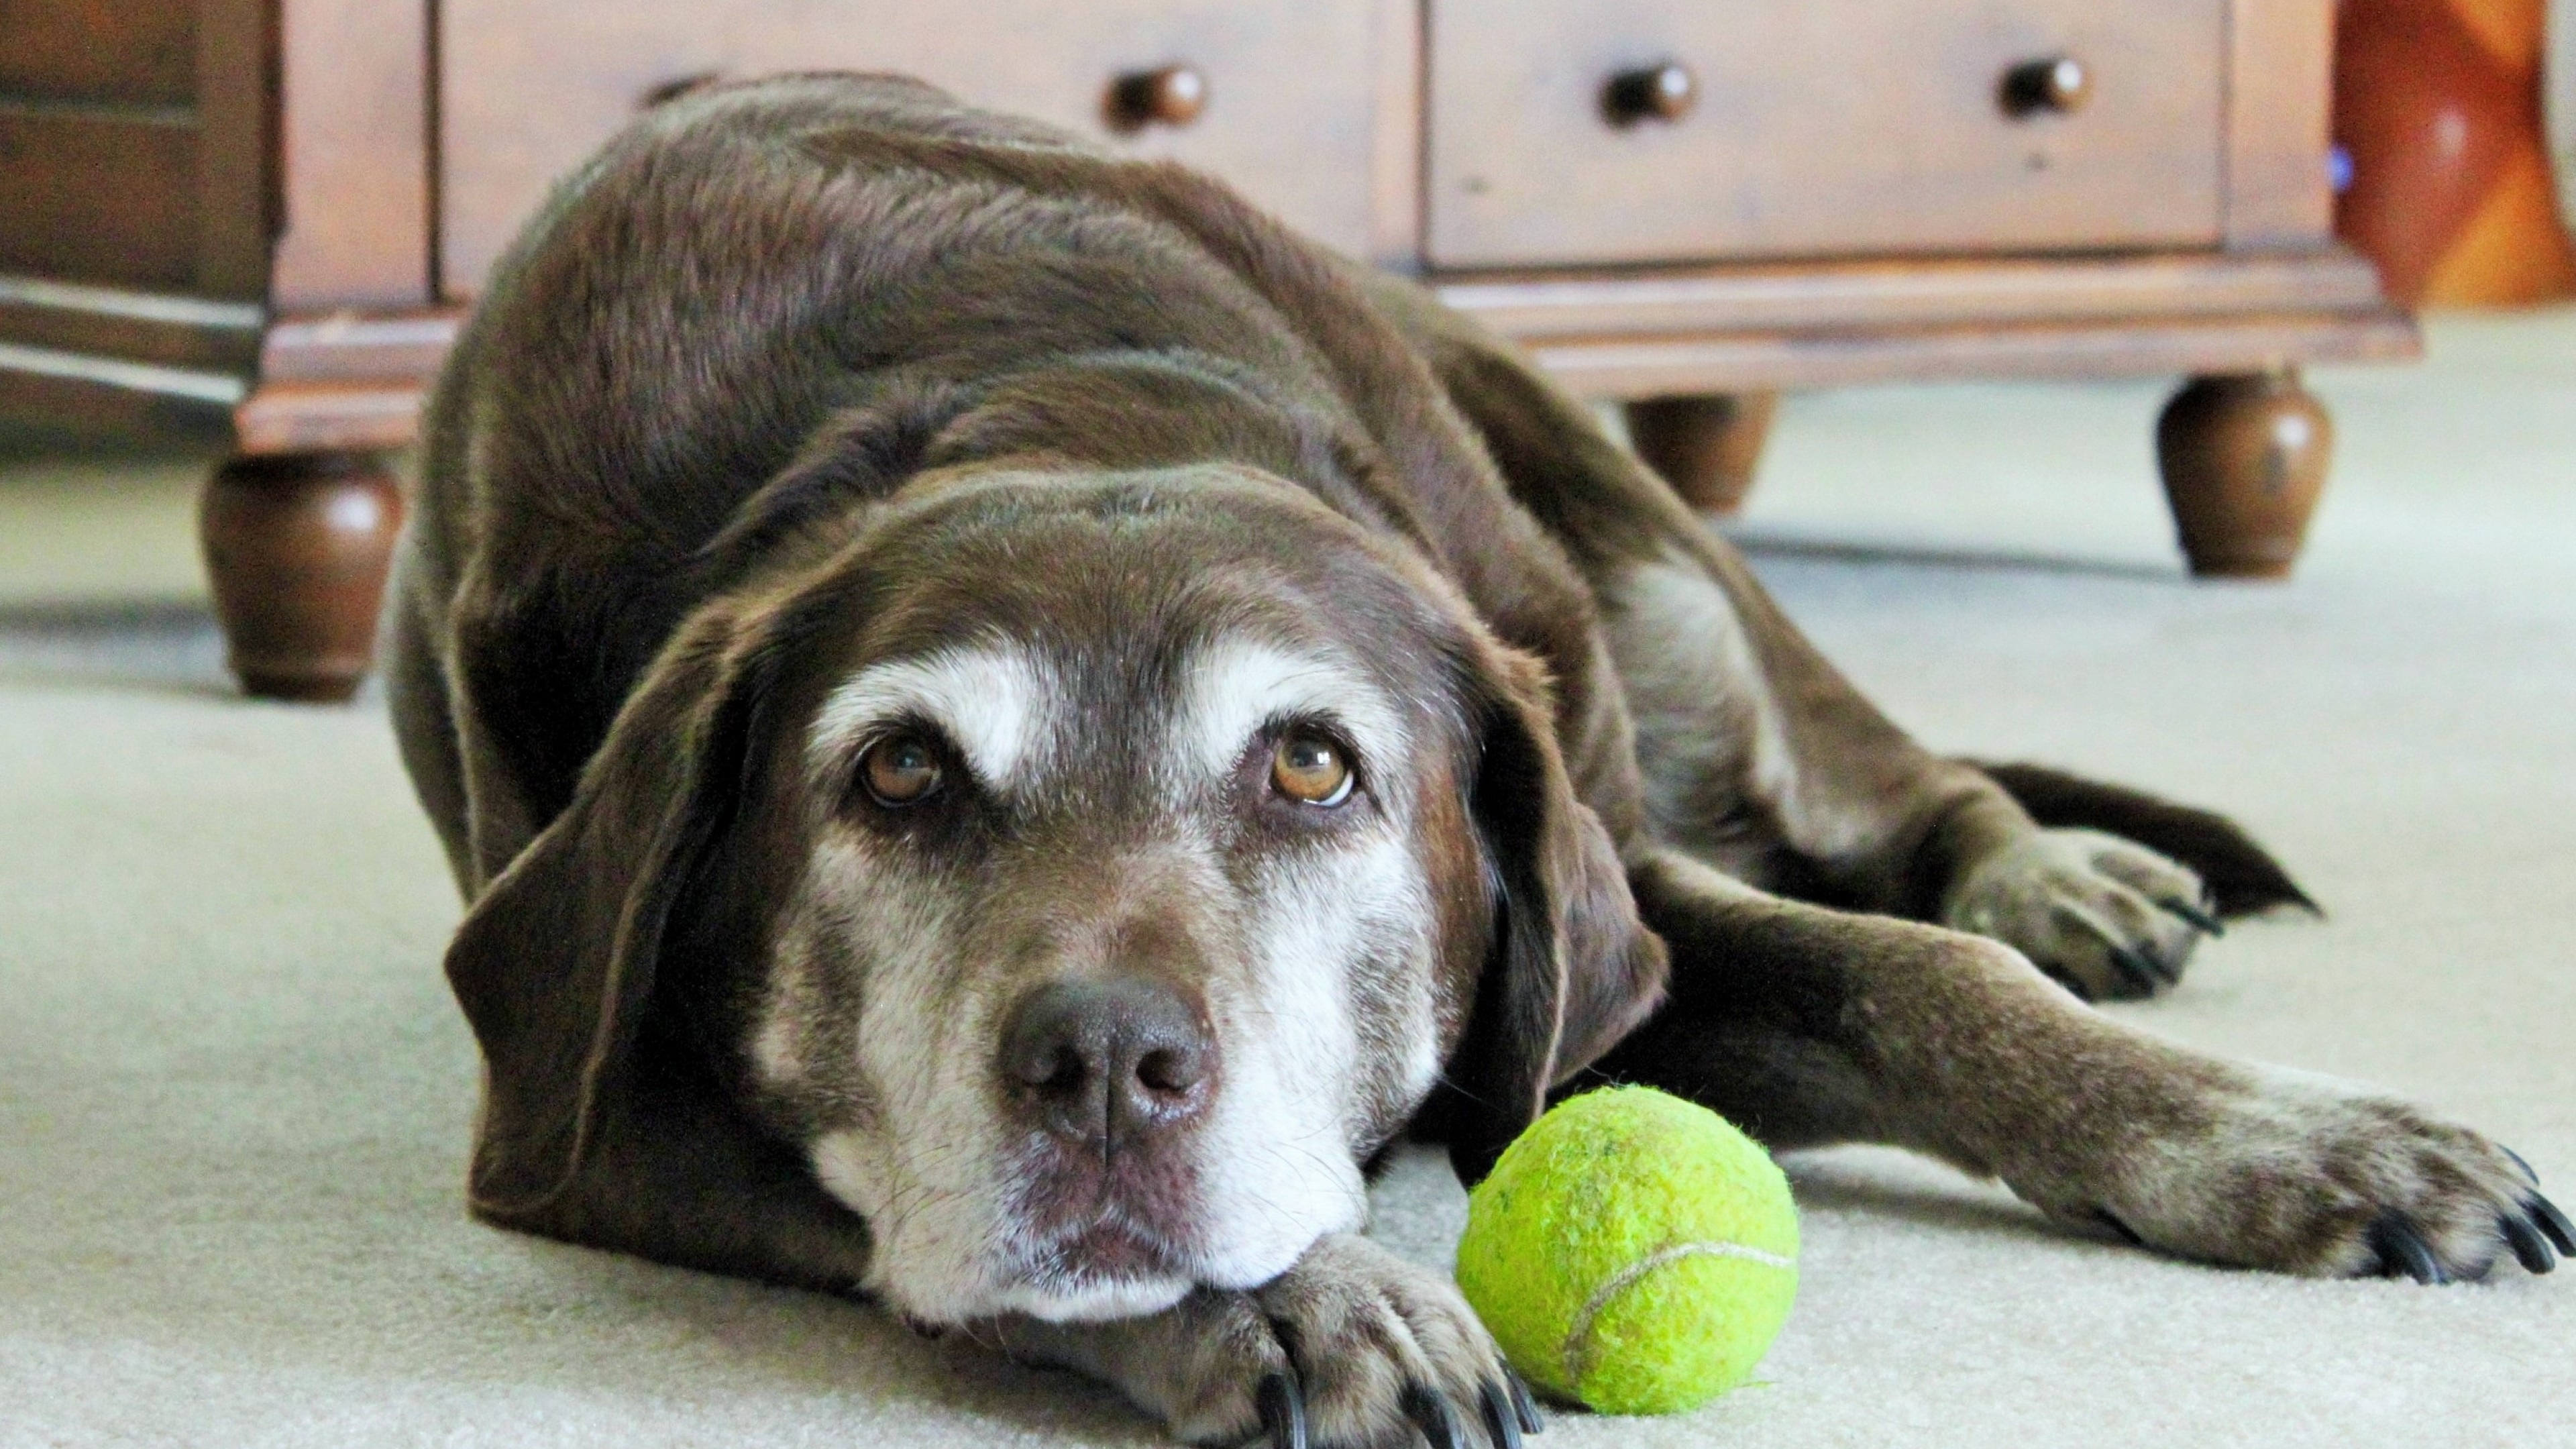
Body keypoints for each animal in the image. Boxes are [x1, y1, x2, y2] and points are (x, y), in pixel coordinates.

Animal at [391, 76, 2565, 1444]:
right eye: (901, 776)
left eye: (1309, 768)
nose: (1103, 1068)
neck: (1028, 406)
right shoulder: (583, 1108)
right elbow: (905, 1204)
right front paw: (1297, 1295)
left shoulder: (1606, 901)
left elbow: (1926, 979)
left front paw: (2286, 1138)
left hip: (1649, 574)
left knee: (1883, 783)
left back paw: (2054, 868)